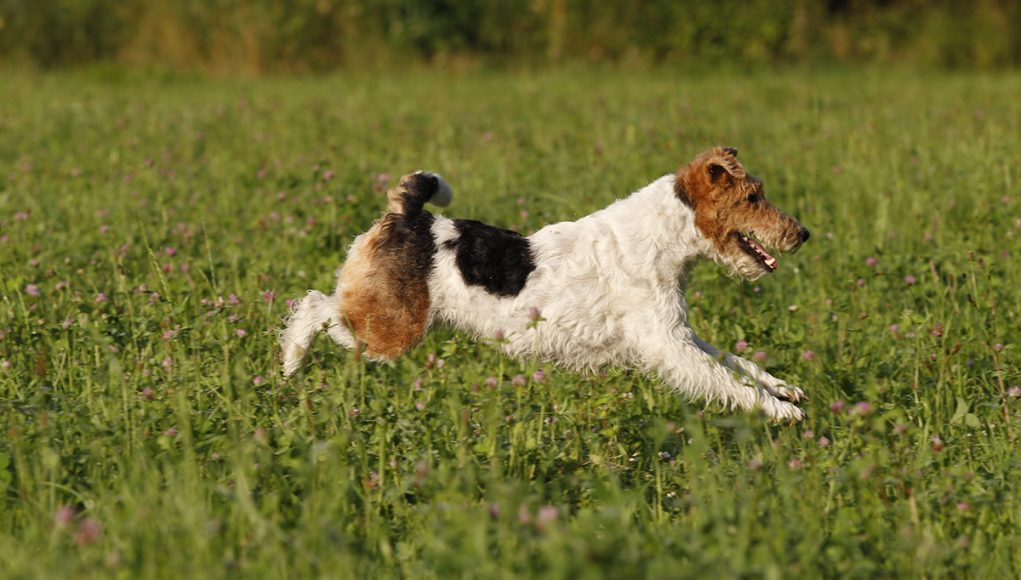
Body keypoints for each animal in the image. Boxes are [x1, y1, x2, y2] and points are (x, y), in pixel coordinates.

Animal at [283, 147, 808, 420]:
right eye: (752, 196)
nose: (801, 233)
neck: (661, 237)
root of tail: (408, 215)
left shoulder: (677, 332)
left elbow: (736, 362)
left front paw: (785, 389)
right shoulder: (667, 345)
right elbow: (725, 379)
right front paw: (781, 412)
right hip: (389, 331)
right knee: (313, 307)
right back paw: (290, 364)